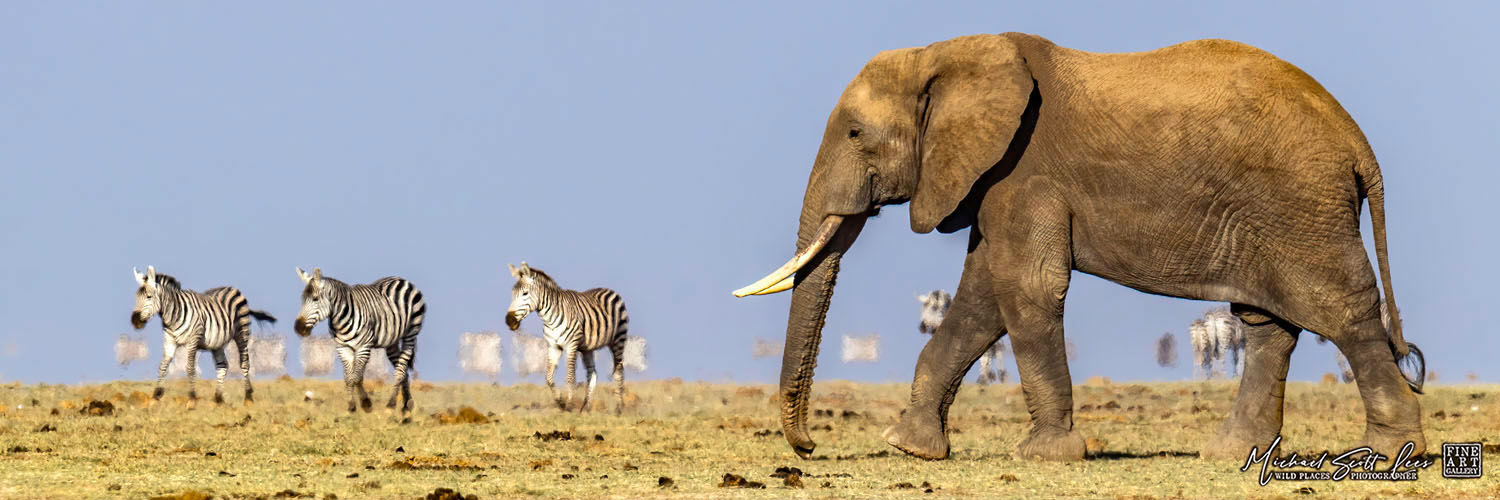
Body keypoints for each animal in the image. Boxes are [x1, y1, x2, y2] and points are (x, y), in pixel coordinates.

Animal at [130, 266, 275, 406]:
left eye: (149, 296)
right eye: (136, 297)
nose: (135, 321)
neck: (172, 316)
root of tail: (232, 288)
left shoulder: (193, 340)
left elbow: (190, 368)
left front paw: (191, 399)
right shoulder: (169, 341)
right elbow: (163, 366)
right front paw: (155, 396)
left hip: (242, 332)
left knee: (244, 363)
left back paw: (248, 397)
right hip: (217, 343)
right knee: (222, 365)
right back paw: (218, 398)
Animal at [294, 267, 425, 414]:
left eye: (315, 299)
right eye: (302, 299)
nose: (298, 328)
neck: (340, 320)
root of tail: (401, 279)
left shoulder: (363, 347)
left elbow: (356, 377)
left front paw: (365, 403)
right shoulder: (343, 348)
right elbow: (349, 378)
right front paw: (352, 405)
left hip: (411, 333)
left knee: (401, 369)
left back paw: (391, 404)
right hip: (392, 341)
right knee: (403, 370)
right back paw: (407, 404)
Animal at [505, 262, 629, 414]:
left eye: (525, 293)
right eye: (512, 293)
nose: (509, 320)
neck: (549, 318)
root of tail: (610, 290)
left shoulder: (571, 346)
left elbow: (570, 378)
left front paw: (569, 405)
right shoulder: (553, 347)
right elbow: (548, 377)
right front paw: (560, 402)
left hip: (618, 339)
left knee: (619, 370)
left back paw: (618, 408)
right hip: (587, 348)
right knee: (592, 373)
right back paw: (586, 408)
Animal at [732, 33, 1425, 462]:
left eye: (855, 133)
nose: (810, 449)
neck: (943, 54)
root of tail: (1357, 142)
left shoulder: (1024, 172)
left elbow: (1025, 286)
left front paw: (1045, 457)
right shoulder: (994, 178)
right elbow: (982, 299)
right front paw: (909, 446)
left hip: (1301, 206)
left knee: (1341, 312)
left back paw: (1393, 454)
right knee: (1267, 324)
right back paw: (1232, 453)